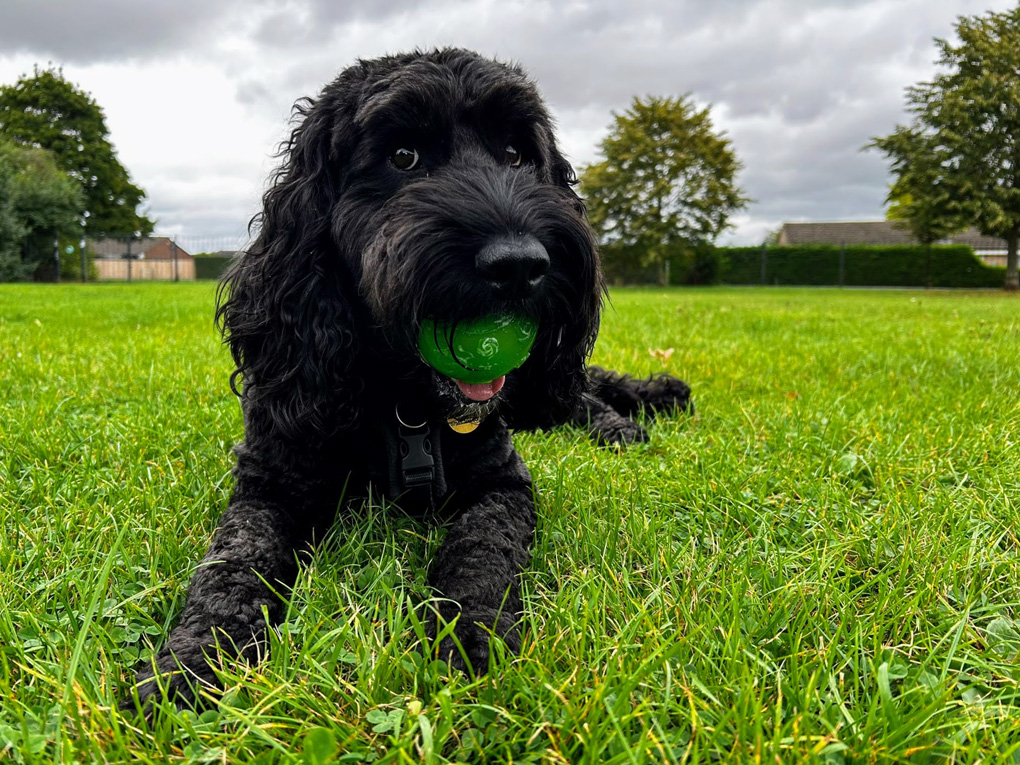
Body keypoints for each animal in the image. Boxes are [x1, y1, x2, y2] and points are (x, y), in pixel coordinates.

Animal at [125, 47, 685, 709]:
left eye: (516, 154)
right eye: (402, 157)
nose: (519, 265)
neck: (405, 406)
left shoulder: (503, 484)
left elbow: (482, 549)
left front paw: (471, 631)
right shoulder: (270, 483)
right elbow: (235, 562)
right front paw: (192, 657)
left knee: (583, 389)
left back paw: (642, 409)